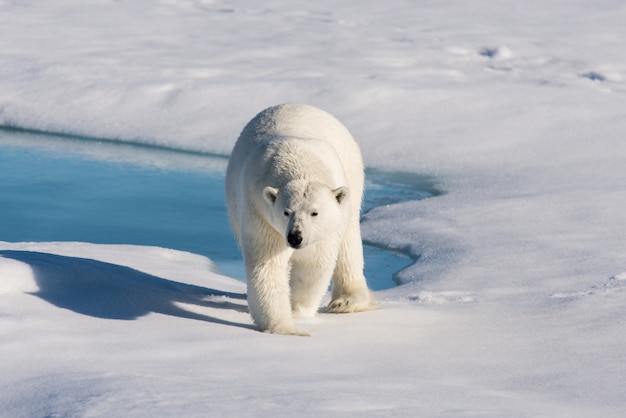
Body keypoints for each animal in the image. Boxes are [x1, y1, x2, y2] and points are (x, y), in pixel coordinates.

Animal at [223, 104, 370, 336]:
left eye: (314, 213)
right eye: (286, 212)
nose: (295, 237)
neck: (299, 161)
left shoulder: (323, 229)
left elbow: (314, 262)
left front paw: (297, 311)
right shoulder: (260, 211)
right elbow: (268, 264)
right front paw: (286, 328)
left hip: (352, 183)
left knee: (349, 240)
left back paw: (346, 301)